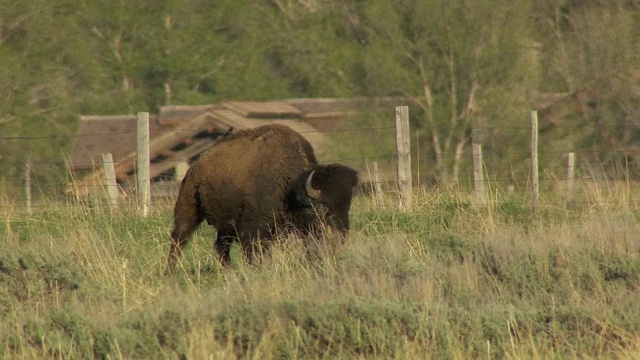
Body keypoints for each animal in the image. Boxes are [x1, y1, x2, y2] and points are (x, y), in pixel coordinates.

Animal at [166, 124, 360, 272]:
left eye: (347, 205)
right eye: (322, 208)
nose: (341, 235)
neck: (289, 189)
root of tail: (198, 163)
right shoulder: (253, 230)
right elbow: (255, 254)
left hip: (226, 226)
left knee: (220, 246)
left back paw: (229, 271)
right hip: (188, 209)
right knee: (179, 238)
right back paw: (170, 272)